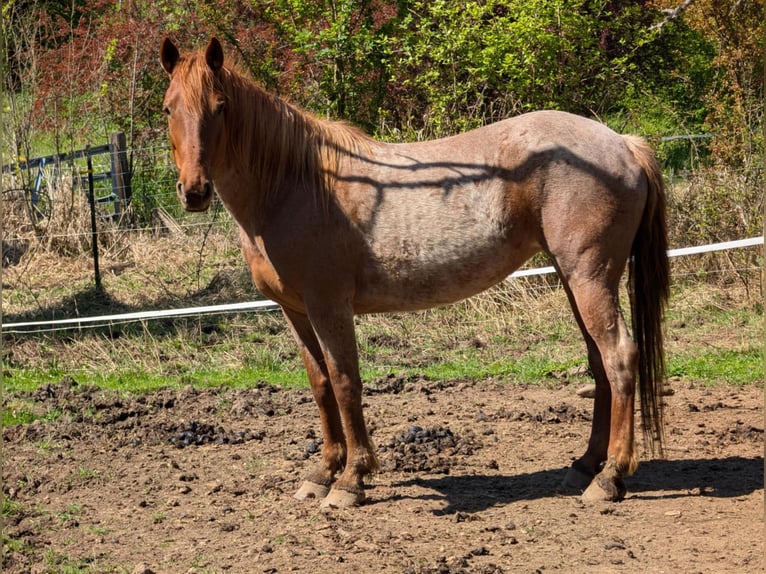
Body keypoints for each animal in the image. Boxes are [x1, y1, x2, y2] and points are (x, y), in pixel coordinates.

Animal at [160, 37, 669, 509]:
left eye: (220, 106)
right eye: (169, 107)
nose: (194, 191)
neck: (294, 185)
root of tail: (623, 144)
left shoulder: (329, 307)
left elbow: (345, 383)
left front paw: (351, 480)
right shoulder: (295, 311)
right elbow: (320, 385)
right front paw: (322, 473)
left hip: (589, 277)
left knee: (619, 357)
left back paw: (610, 478)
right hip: (573, 278)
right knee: (599, 364)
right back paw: (584, 466)